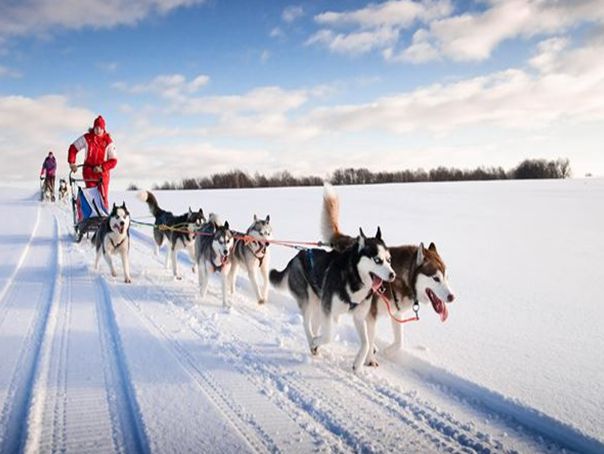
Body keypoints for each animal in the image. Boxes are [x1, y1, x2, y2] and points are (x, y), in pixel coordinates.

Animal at [270, 225, 394, 370]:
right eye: (377, 260)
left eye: (389, 260)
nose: (393, 275)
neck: (354, 278)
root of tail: (297, 256)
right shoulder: (328, 310)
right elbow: (329, 335)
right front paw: (316, 342)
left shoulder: (358, 316)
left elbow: (366, 343)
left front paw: (358, 364)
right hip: (309, 302)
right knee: (306, 323)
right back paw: (312, 341)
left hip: (319, 304)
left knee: (314, 325)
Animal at [320, 184, 452, 366]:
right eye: (436, 278)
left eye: (446, 277)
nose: (452, 297)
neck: (401, 279)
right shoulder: (371, 315)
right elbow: (369, 339)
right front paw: (370, 359)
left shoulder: (396, 313)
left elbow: (399, 341)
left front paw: (387, 351)